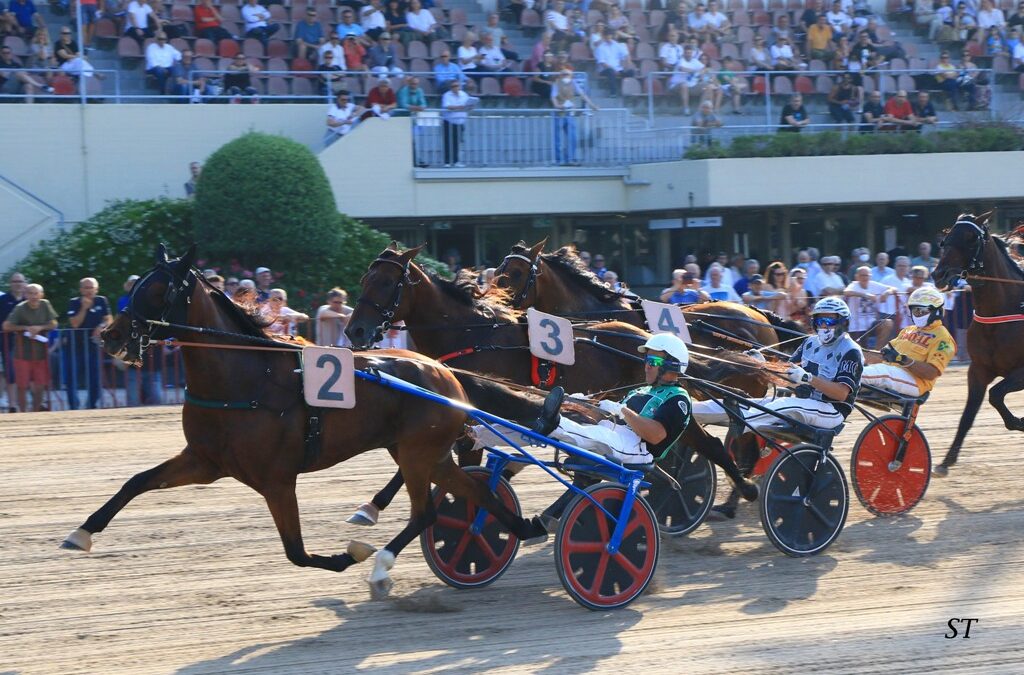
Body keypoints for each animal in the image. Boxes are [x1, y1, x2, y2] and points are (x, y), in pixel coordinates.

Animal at [59, 243, 548, 598]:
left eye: (158, 290)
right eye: (137, 284)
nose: (109, 335)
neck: (245, 377)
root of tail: (445, 373)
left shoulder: (277, 478)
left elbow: (296, 552)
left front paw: (351, 555)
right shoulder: (205, 461)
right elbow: (136, 481)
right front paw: (81, 533)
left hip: (416, 453)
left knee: (426, 511)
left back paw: (380, 566)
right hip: (425, 453)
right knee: (474, 494)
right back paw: (523, 527)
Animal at [344, 242, 774, 528]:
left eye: (386, 283)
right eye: (365, 278)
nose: (355, 331)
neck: (474, 334)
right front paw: (371, 507)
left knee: (720, 440)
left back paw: (745, 491)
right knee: (711, 442)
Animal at [933, 209, 1024, 475]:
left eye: (971, 238)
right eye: (946, 238)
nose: (939, 274)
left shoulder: (1022, 372)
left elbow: (995, 394)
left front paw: (1019, 421)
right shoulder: (978, 370)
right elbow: (968, 415)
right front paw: (946, 461)